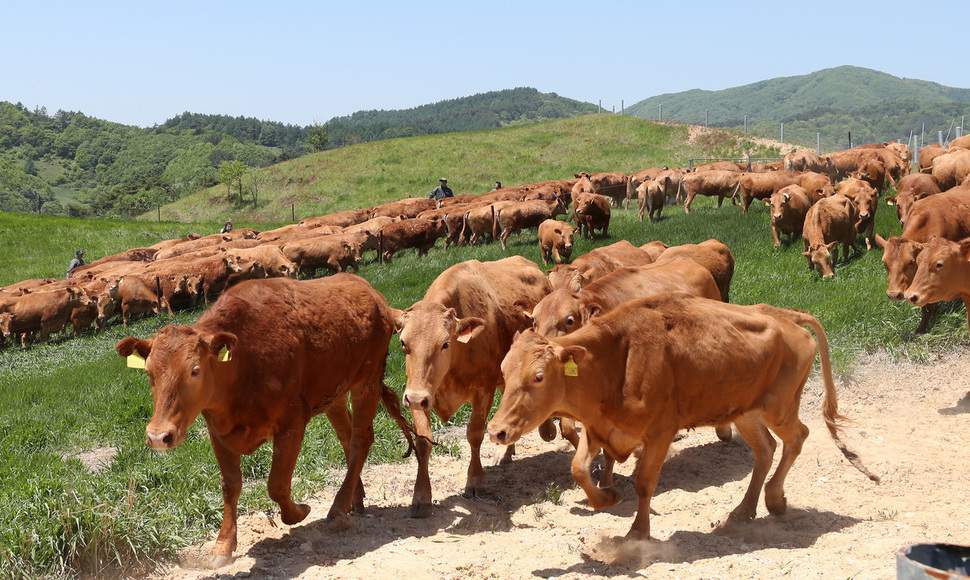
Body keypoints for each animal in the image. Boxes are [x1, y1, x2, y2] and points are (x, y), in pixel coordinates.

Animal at [114, 276, 416, 568]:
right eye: (149, 373)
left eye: (194, 371)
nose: (157, 436)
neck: (243, 364)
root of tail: (373, 294)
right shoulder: (218, 432)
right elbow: (230, 485)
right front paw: (223, 546)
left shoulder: (291, 424)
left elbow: (277, 484)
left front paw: (298, 512)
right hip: (335, 394)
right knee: (347, 437)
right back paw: (355, 497)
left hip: (367, 382)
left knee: (360, 439)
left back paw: (339, 506)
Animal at [390, 256, 548, 516]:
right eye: (404, 343)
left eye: (445, 343)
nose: (414, 398)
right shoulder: (419, 393)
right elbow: (423, 441)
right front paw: (421, 496)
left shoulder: (483, 389)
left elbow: (474, 434)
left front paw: (475, 480)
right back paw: (506, 453)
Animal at [488, 296, 872, 540]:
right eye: (504, 369)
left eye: (539, 376)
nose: (497, 430)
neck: (615, 358)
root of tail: (786, 316)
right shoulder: (600, 428)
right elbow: (579, 468)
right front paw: (607, 498)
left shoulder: (660, 433)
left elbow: (644, 482)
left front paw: (637, 532)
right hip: (745, 412)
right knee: (765, 449)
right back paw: (744, 510)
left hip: (779, 408)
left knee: (797, 437)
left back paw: (774, 499)